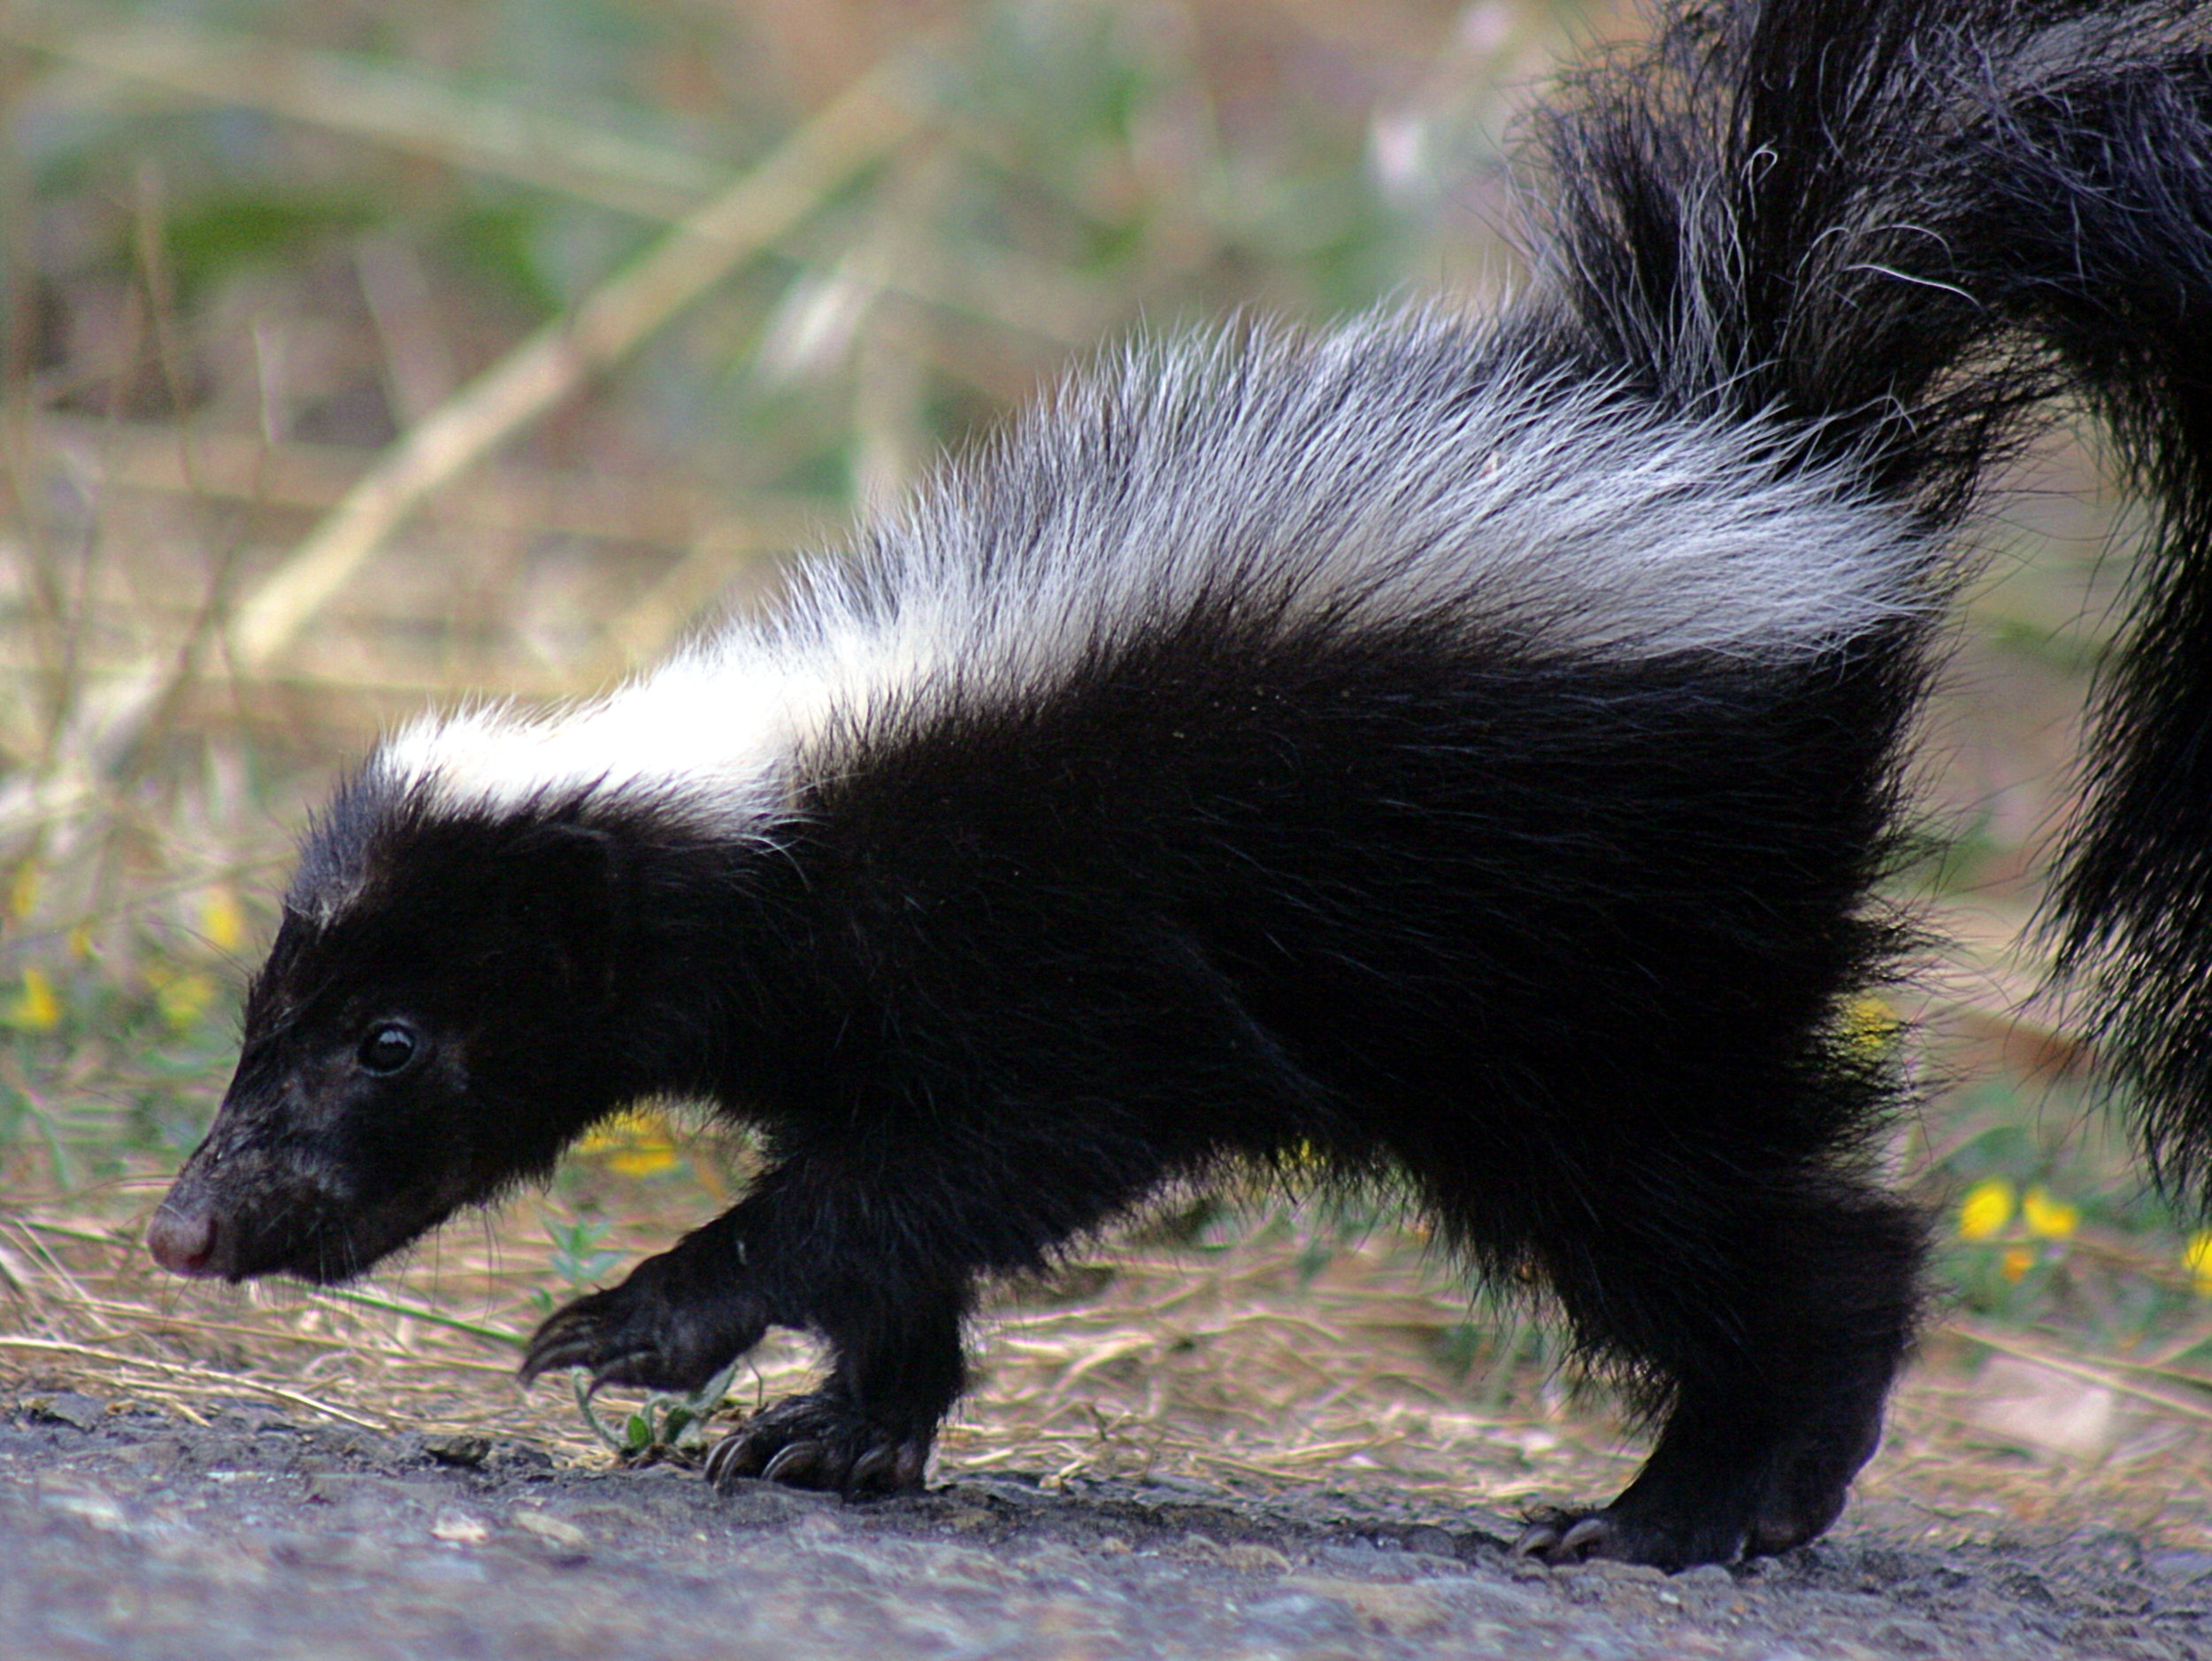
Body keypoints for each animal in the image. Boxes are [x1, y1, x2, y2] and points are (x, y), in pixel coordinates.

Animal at [147, 0, 2212, 1574]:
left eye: (393, 1041)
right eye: (267, 1024)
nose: (190, 1224)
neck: (785, 795)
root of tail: (1783, 452)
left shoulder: (1054, 951)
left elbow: (968, 1161)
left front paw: (641, 1319)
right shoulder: (874, 1009)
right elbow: (898, 1205)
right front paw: (843, 1424)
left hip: (1597, 970)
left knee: (1762, 1224)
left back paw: (1702, 1501)